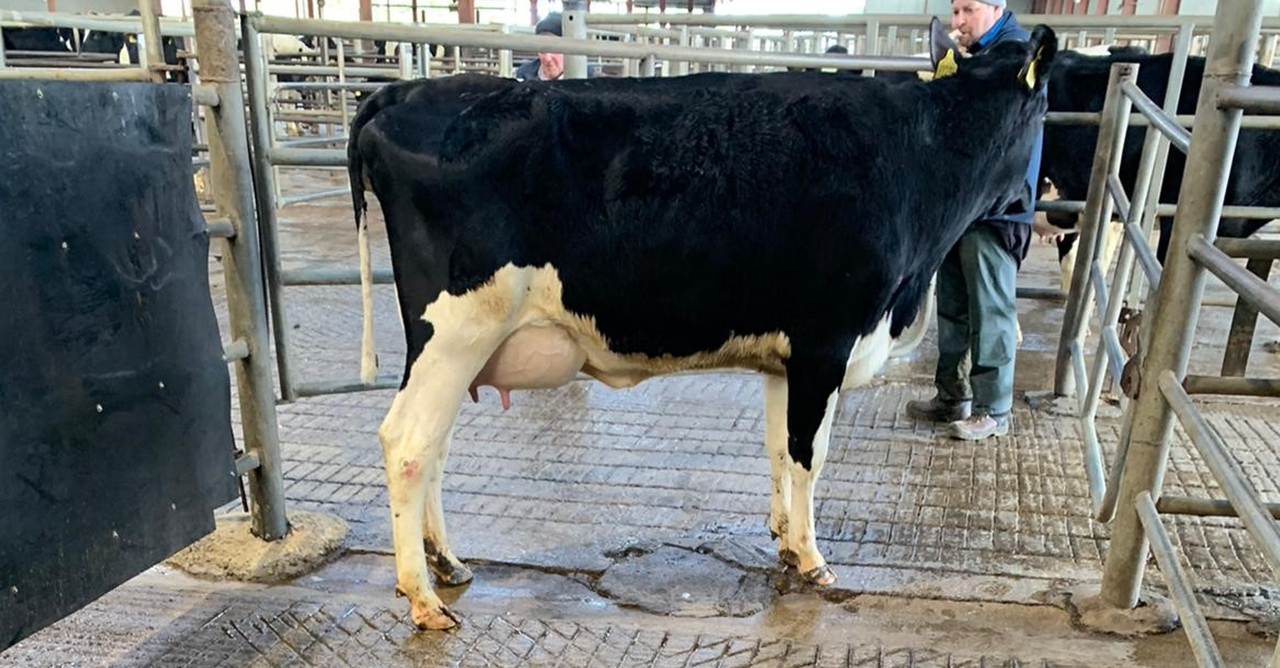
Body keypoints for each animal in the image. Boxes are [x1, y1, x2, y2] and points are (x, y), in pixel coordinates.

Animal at [346, 19, 1057, 630]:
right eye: (1046, 110)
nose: (1029, 216)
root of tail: (401, 90)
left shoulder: (787, 357)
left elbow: (779, 448)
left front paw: (783, 541)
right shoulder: (826, 341)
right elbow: (810, 453)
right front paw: (813, 559)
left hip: (458, 347)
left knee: (433, 447)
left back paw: (449, 564)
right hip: (457, 330)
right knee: (406, 444)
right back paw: (423, 597)